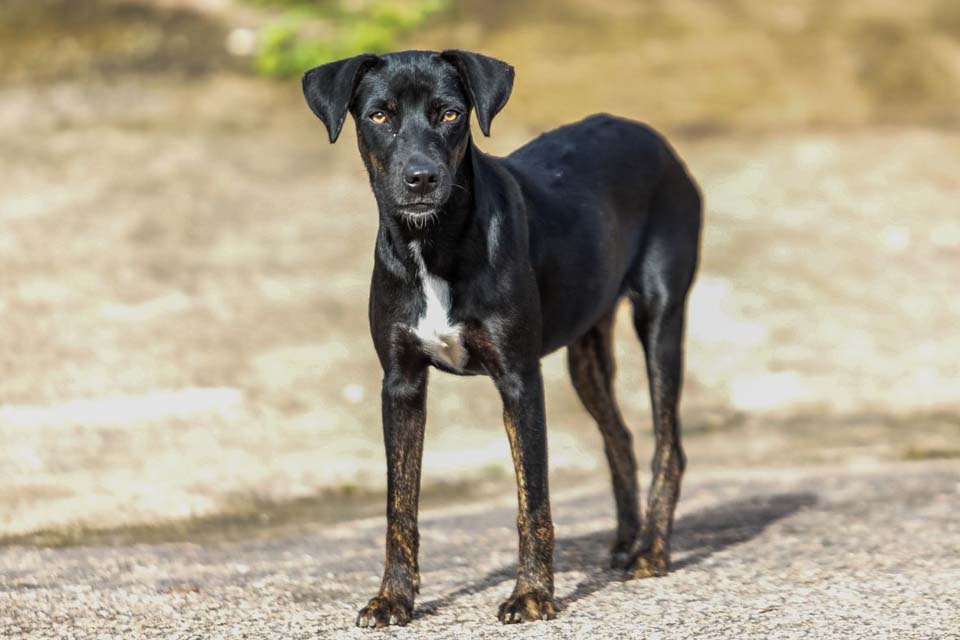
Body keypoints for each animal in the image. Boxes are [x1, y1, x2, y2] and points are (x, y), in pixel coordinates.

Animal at [304, 48, 700, 624]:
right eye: (379, 115)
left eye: (449, 113)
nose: (421, 178)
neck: (433, 244)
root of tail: (651, 135)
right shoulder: (401, 384)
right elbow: (400, 504)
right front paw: (393, 598)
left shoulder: (518, 379)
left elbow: (531, 499)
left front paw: (532, 594)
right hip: (586, 350)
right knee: (620, 438)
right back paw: (628, 540)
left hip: (661, 317)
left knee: (668, 445)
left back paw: (650, 550)